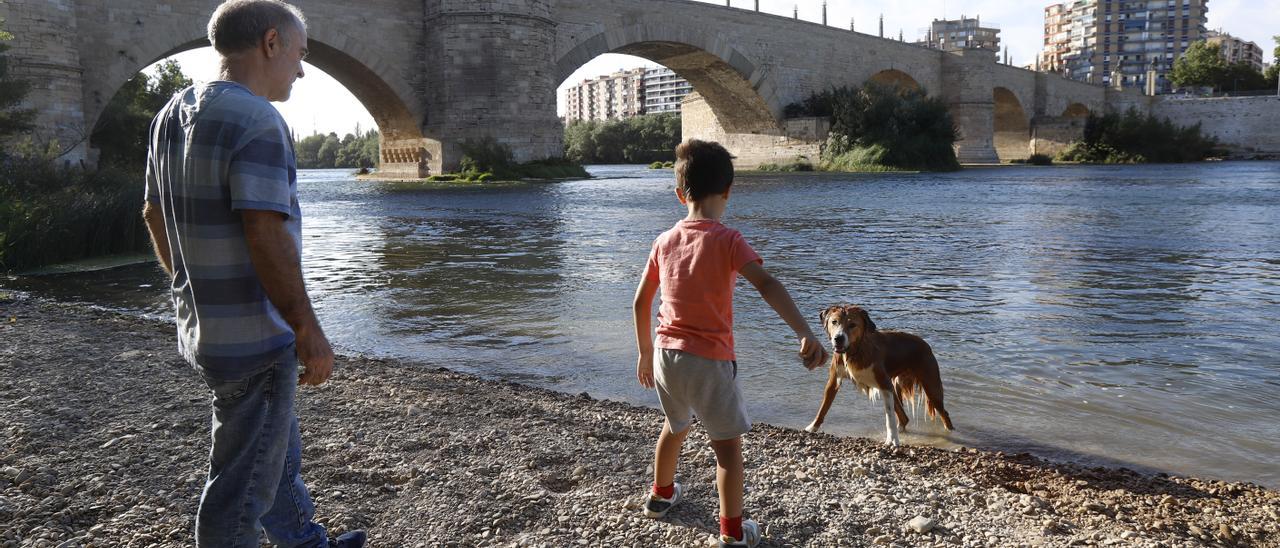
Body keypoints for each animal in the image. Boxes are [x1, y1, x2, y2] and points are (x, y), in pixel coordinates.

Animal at [803, 303, 957, 445]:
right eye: (834, 322)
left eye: (852, 325)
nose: (838, 338)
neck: (854, 352)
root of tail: (925, 344)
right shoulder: (834, 380)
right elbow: (823, 407)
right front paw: (812, 427)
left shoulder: (884, 384)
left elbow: (889, 417)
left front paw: (892, 439)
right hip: (896, 387)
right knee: (904, 417)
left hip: (931, 386)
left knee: (944, 414)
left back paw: (951, 433)